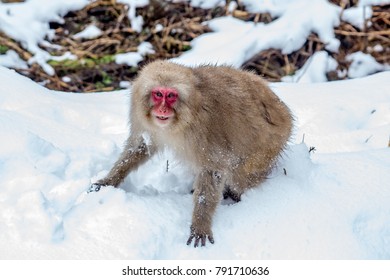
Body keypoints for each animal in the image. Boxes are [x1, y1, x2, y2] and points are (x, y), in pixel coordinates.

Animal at [90, 59, 292, 247]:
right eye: (158, 94)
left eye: (171, 96)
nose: (162, 109)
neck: (181, 120)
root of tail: (283, 111)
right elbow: (140, 146)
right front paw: (109, 180)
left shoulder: (206, 125)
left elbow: (213, 169)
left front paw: (200, 223)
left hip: (269, 146)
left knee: (239, 178)